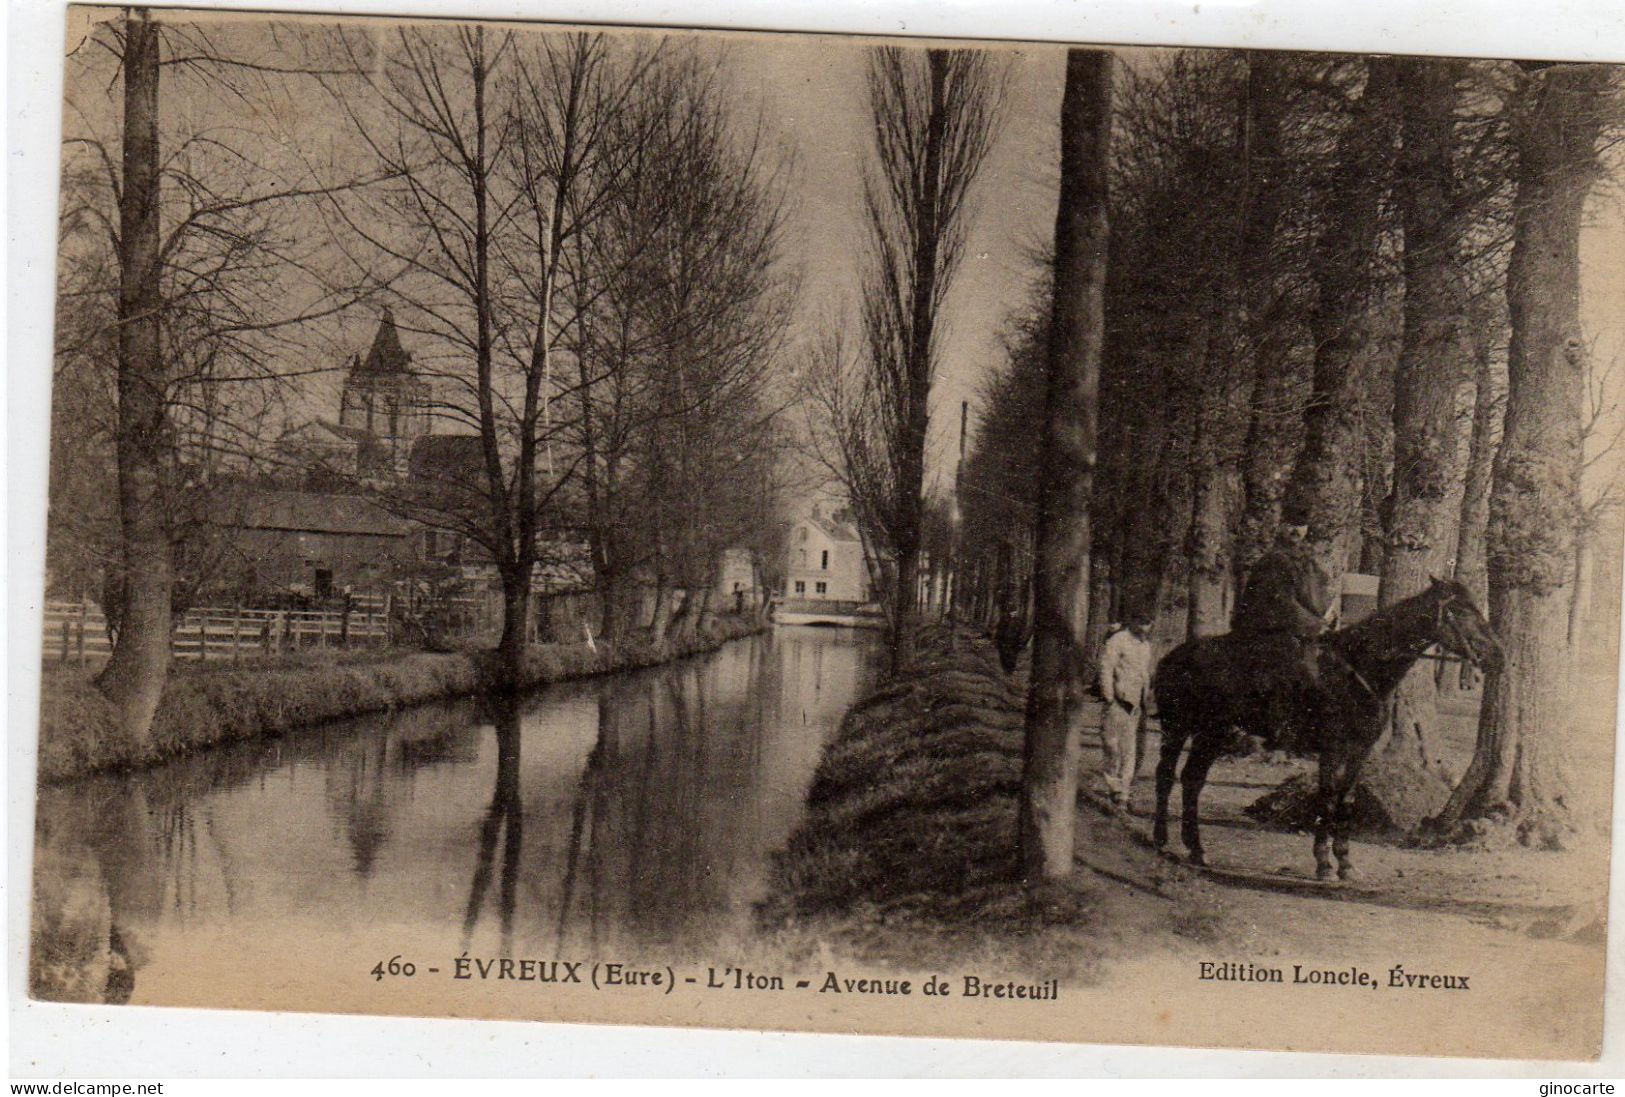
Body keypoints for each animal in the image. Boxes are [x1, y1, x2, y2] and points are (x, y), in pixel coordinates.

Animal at [1150, 578, 1501, 877]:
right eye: (1463, 610)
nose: (1498, 653)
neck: (1359, 669)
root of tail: (1173, 656)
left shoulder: (1359, 751)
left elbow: (1345, 800)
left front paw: (1345, 862)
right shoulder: (1332, 748)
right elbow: (1328, 797)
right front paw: (1323, 862)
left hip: (1211, 733)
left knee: (1192, 780)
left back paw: (1196, 849)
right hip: (1179, 728)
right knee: (1166, 776)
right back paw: (1162, 841)